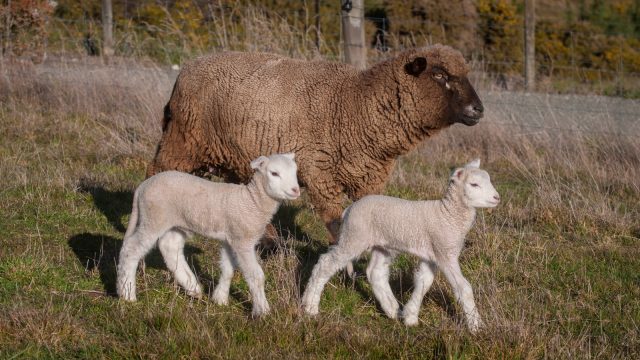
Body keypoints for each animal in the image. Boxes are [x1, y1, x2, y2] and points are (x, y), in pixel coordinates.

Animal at [115, 153, 300, 316]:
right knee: (131, 249)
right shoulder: (242, 240)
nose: (295, 190)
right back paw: (127, 293)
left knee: (170, 247)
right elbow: (256, 276)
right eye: (274, 173)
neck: (252, 201)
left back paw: (193, 288)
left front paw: (220, 299)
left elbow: (228, 269)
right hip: (154, 218)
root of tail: (142, 187)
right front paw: (263, 311)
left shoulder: (230, 238)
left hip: (175, 223)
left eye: (295, 172)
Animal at [146, 44, 484, 242]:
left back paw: (268, 239)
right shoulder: (322, 174)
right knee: (155, 172)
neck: (356, 103)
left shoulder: (368, 178)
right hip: (182, 141)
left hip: (233, 152)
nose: (478, 109)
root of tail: (185, 70)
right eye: (439, 75)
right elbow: (336, 225)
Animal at [302, 160, 500, 332]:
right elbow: (464, 288)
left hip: (382, 245)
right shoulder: (445, 253)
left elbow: (423, 282)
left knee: (375, 273)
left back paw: (392, 310)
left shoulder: (433, 255)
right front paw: (477, 327)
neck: (447, 214)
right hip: (354, 237)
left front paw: (410, 317)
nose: (497, 197)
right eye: (474, 184)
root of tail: (348, 209)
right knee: (325, 264)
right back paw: (309, 306)